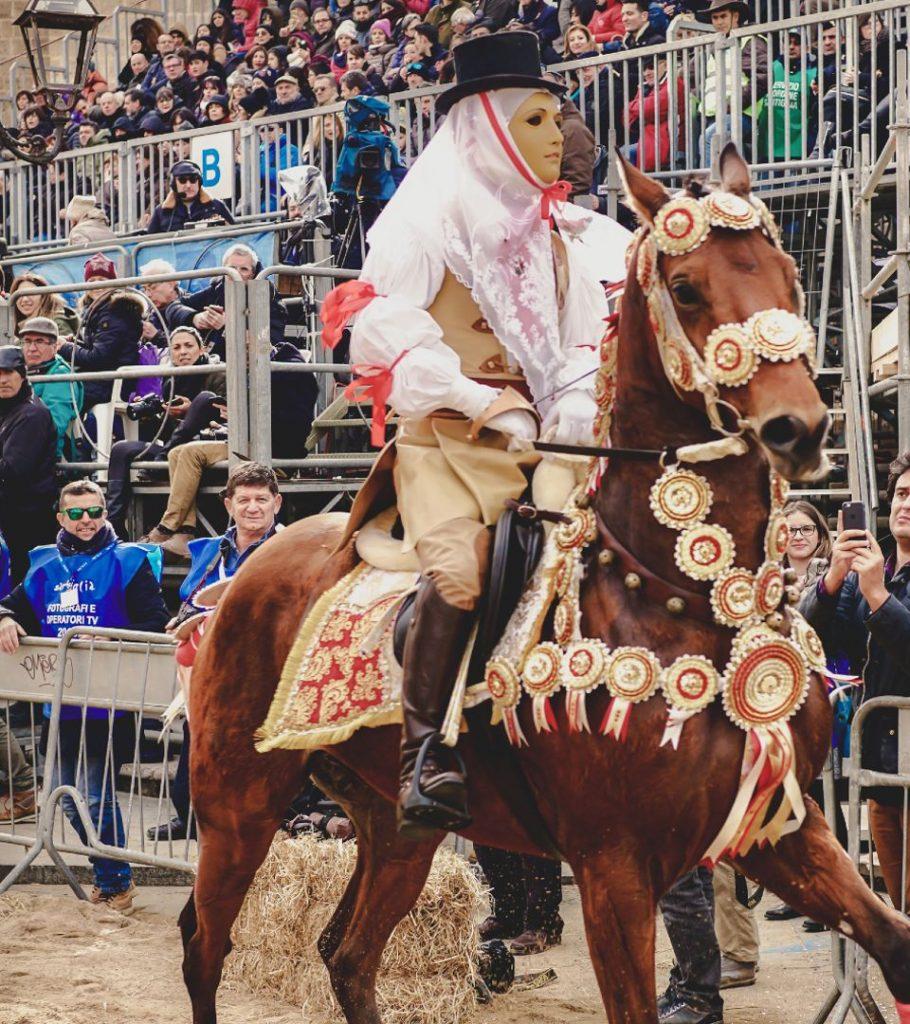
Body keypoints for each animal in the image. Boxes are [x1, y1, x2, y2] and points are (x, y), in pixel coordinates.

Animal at [177, 146, 908, 1024]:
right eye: (687, 287)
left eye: (790, 276)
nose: (798, 427)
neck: (690, 599)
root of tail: (238, 577)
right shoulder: (613, 866)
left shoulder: (780, 829)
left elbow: (895, 943)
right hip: (237, 805)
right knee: (206, 946)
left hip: (396, 827)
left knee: (347, 955)